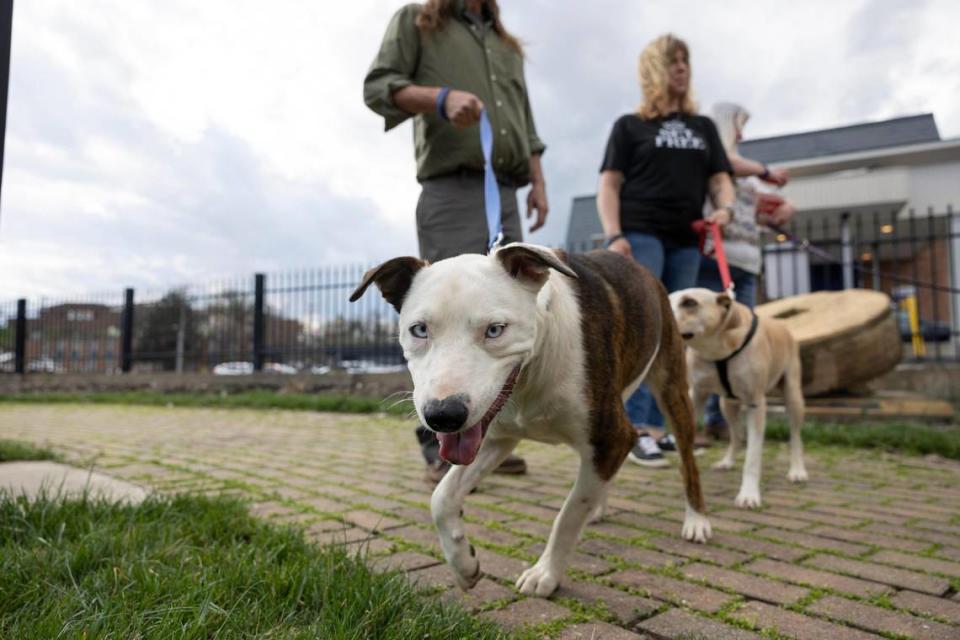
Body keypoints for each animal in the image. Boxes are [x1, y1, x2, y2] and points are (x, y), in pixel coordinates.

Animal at [348, 244, 708, 596]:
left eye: (495, 330)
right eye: (420, 330)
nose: (444, 415)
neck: (532, 370)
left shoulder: (612, 435)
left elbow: (568, 514)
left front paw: (546, 574)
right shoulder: (496, 438)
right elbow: (442, 498)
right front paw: (464, 564)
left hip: (672, 387)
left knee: (688, 463)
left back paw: (696, 520)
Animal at [668, 288, 808, 508]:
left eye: (689, 302)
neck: (716, 349)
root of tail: (780, 324)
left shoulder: (755, 404)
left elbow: (752, 457)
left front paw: (749, 494)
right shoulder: (695, 394)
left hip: (793, 397)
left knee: (795, 438)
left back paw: (797, 470)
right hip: (727, 405)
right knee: (736, 435)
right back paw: (727, 461)